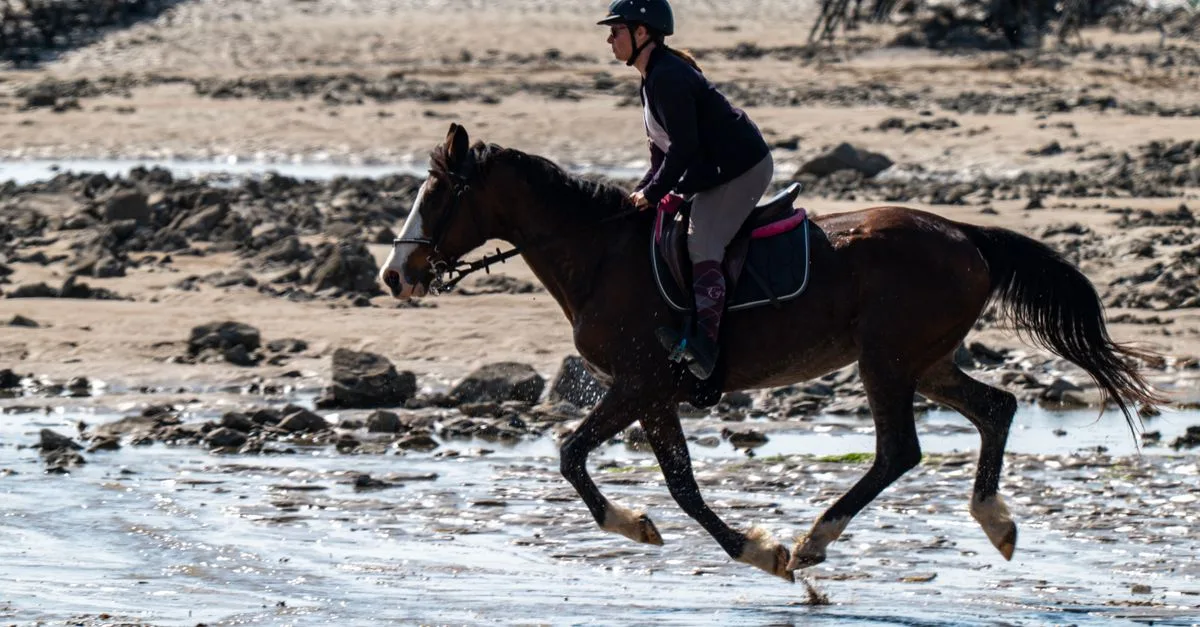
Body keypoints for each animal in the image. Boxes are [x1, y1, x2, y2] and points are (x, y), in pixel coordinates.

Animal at [379, 123, 1162, 582]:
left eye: (438, 194)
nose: (394, 275)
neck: (600, 253)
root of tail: (966, 235)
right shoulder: (655, 394)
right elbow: (683, 486)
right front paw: (746, 547)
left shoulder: (637, 383)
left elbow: (575, 456)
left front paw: (736, 547)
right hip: (925, 359)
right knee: (995, 407)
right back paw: (994, 521)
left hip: (885, 359)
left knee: (898, 451)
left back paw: (817, 538)